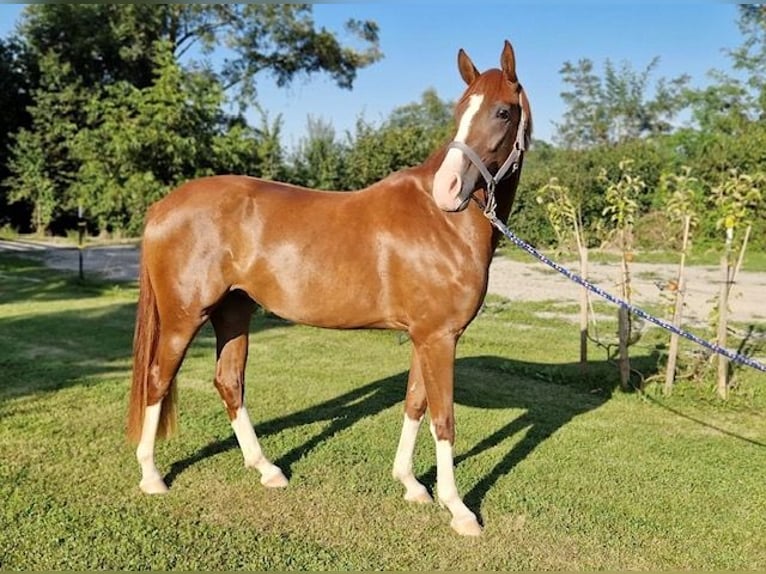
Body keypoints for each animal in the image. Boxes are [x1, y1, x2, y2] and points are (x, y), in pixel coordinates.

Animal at [127, 39, 536, 536]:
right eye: (461, 110)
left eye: (502, 112)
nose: (449, 188)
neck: (442, 223)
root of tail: (162, 207)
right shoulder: (439, 338)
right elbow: (443, 419)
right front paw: (458, 509)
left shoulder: (426, 336)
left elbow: (415, 403)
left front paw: (411, 486)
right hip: (184, 317)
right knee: (157, 379)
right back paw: (151, 476)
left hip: (234, 312)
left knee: (229, 382)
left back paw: (267, 470)